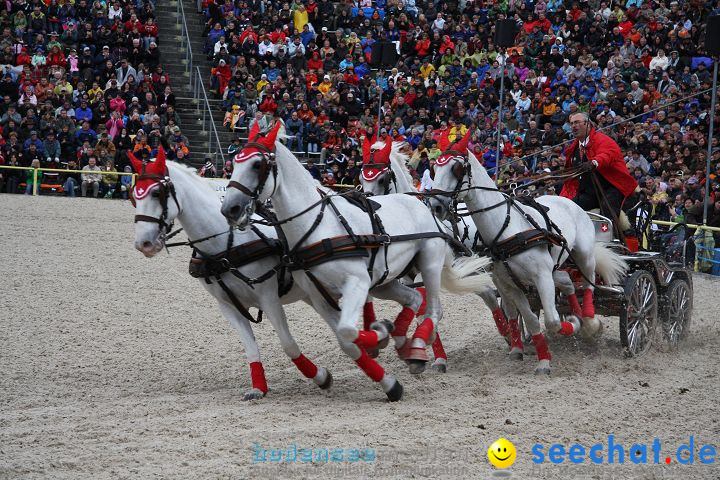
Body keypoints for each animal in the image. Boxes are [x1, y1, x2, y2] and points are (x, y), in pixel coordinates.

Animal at [130, 148, 332, 400]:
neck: (225, 245)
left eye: (157, 193)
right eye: (133, 196)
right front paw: (258, 388)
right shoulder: (228, 305)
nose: (144, 243)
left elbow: (288, 344)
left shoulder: (269, 298)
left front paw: (321, 376)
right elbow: (250, 347)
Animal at [219, 122, 490, 400]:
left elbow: (348, 330)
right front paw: (385, 366)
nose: (230, 209)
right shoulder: (320, 296)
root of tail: (420, 205)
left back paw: (417, 347)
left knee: (433, 309)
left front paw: (381, 334)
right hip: (386, 282)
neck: (317, 226)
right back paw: (404, 340)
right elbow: (345, 338)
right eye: (236, 161)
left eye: (257, 165)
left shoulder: (357, 283)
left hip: (429, 265)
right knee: (415, 299)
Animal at [428, 150, 624, 376]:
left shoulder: (542, 277)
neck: (506, 229)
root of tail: (568, 200)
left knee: (588, 282)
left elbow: (552, 321)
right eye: (434, 169)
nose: (436, 206)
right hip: (552, 268)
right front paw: (543, 359)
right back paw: (577, 315)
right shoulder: (512, 284)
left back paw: (590, 321)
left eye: (457, 169)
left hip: (583, 255)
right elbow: (530, 319)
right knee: (567, 281)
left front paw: (573, 325)